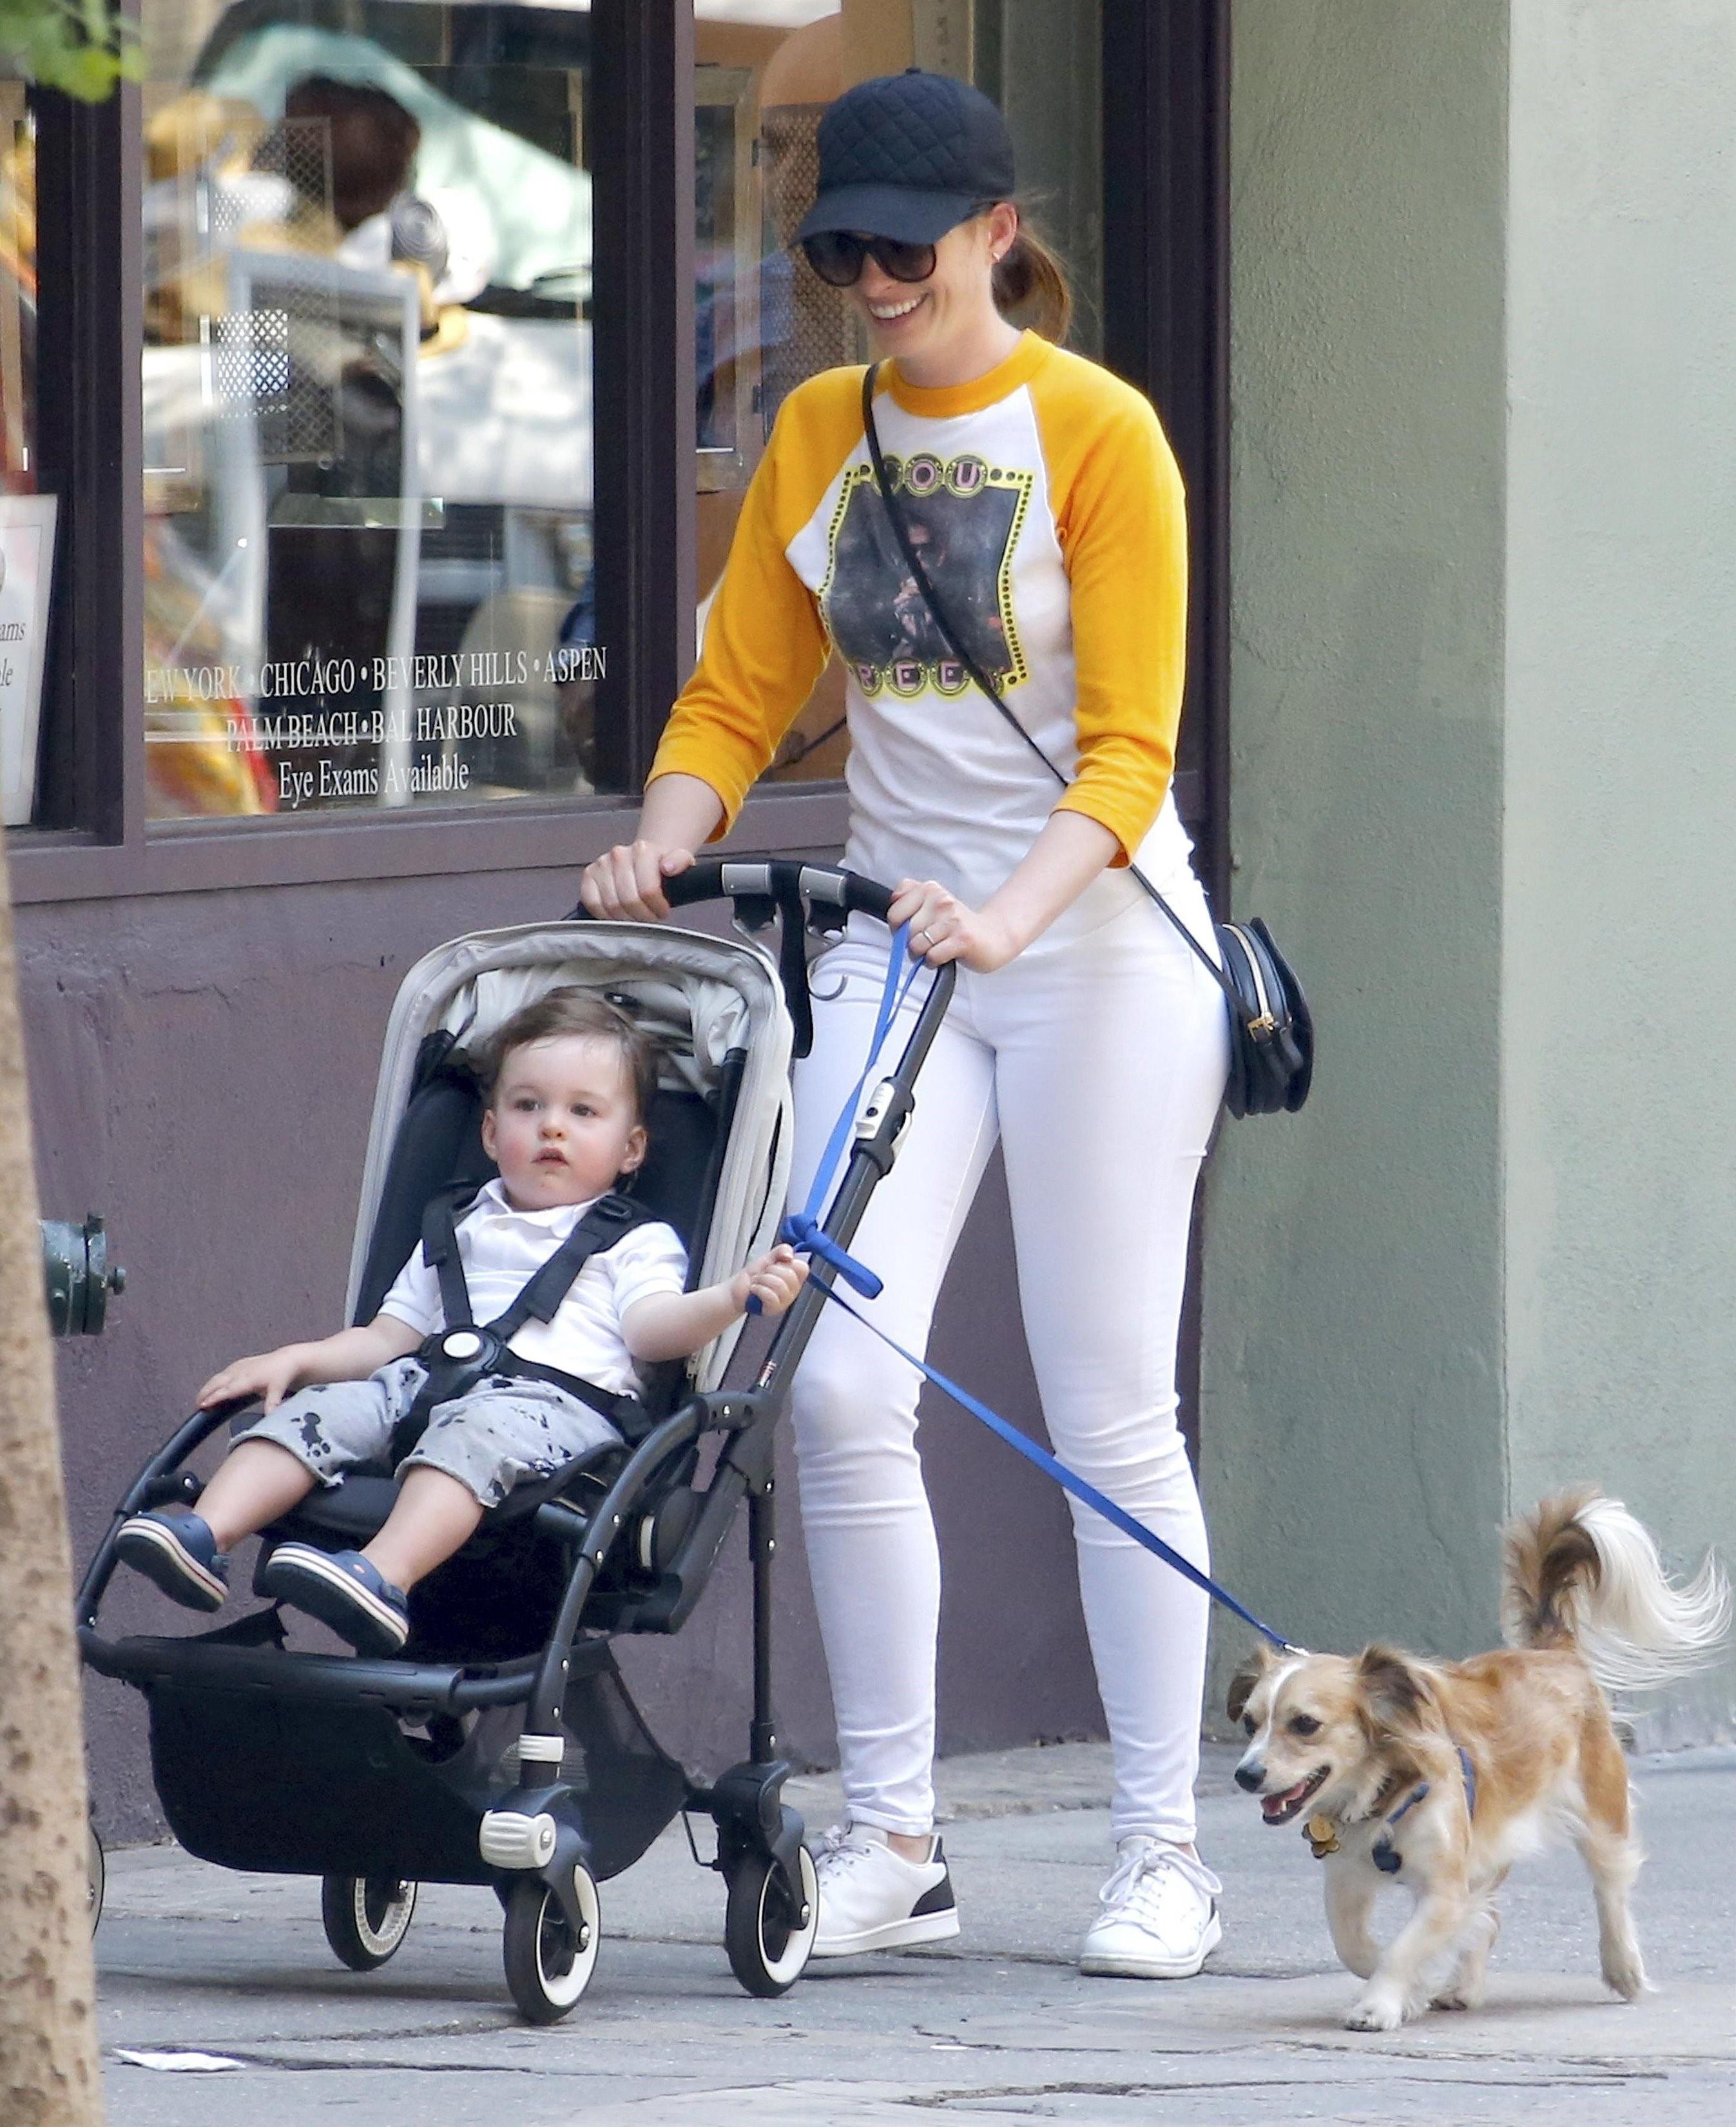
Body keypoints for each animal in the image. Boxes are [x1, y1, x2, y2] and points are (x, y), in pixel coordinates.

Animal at [1225, 1489, 1727, 2033]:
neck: (1384, 1790)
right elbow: (1353, 1944)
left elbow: (1406, 1948)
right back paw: (1462, 1986)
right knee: (1490, 1917)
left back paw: (1623, 1968)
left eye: (1304, 1724)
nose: (1246, 1775)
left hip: (1600, 1813)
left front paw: (1381, 2002)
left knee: (1610, 1888)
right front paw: (1409, 1987)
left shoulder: (1447, 1888)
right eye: (1251, 1724)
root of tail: (1553, 1652)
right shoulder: (1348, 1879)